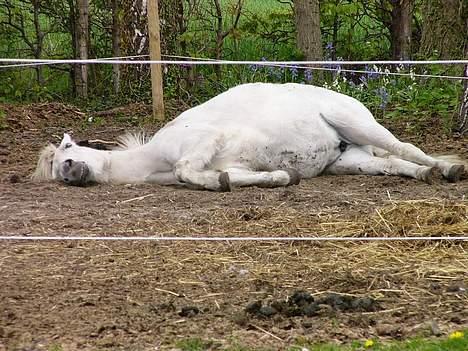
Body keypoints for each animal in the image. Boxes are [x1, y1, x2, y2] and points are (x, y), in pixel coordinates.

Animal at [32, 83, 464, 191]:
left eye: (68, 148)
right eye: (54, 169)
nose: (69, 170)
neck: (153, 158)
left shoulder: (204, 142)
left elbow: (189, 171)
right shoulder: (236, 163)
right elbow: (232, 175)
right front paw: (280, 178)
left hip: (357, 123)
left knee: (405, 147)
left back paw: (448, 169)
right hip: (350, 160)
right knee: (392, 164)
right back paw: (426, 175)